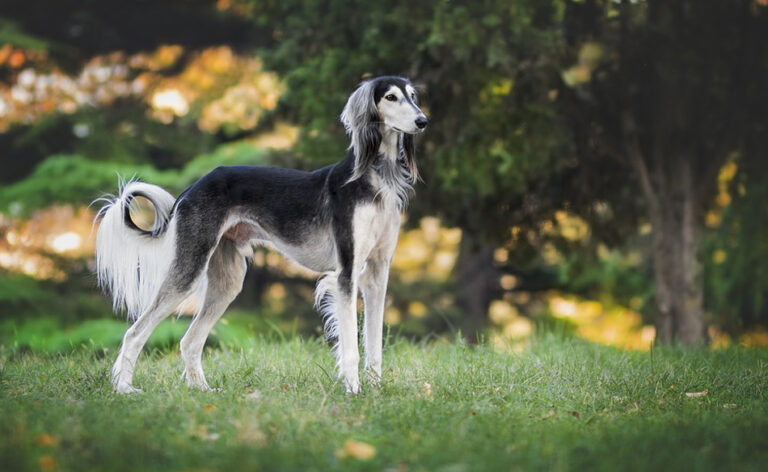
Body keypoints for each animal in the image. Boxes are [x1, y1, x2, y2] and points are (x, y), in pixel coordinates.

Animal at [94, 76, 426, 394]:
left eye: (413, 96)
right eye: (390, 97)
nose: (422, 120)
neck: (374, 179)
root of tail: (192, 188)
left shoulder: (377, 274)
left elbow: (374, 343)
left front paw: (375, 389)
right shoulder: (346, 273)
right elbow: (351, 347)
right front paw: (354, 390)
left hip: (227, 280)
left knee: (189, 340)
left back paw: (202, 390)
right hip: (189, 268)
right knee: (134, 332)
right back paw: (124, 388)